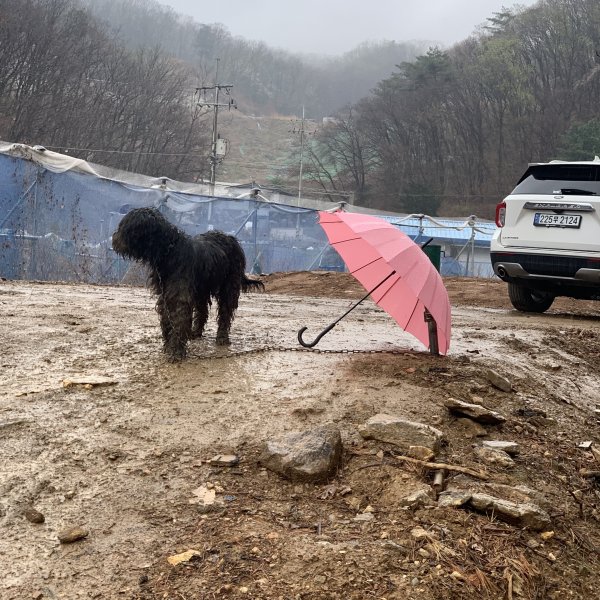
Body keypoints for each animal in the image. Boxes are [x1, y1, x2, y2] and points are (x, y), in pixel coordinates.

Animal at [112, 207, 262, 360]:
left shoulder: (180, 295)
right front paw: (168, 345)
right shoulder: (165, 294)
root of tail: (232, 239)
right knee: (202, 310)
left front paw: (176, 352)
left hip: (229, 285)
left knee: (226, 310)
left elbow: (179, 319)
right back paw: (195, 332)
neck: (169, 252)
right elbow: (166, 318)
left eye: (124, 226)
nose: (114, 237)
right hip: (202, 289)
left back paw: (222, 337)